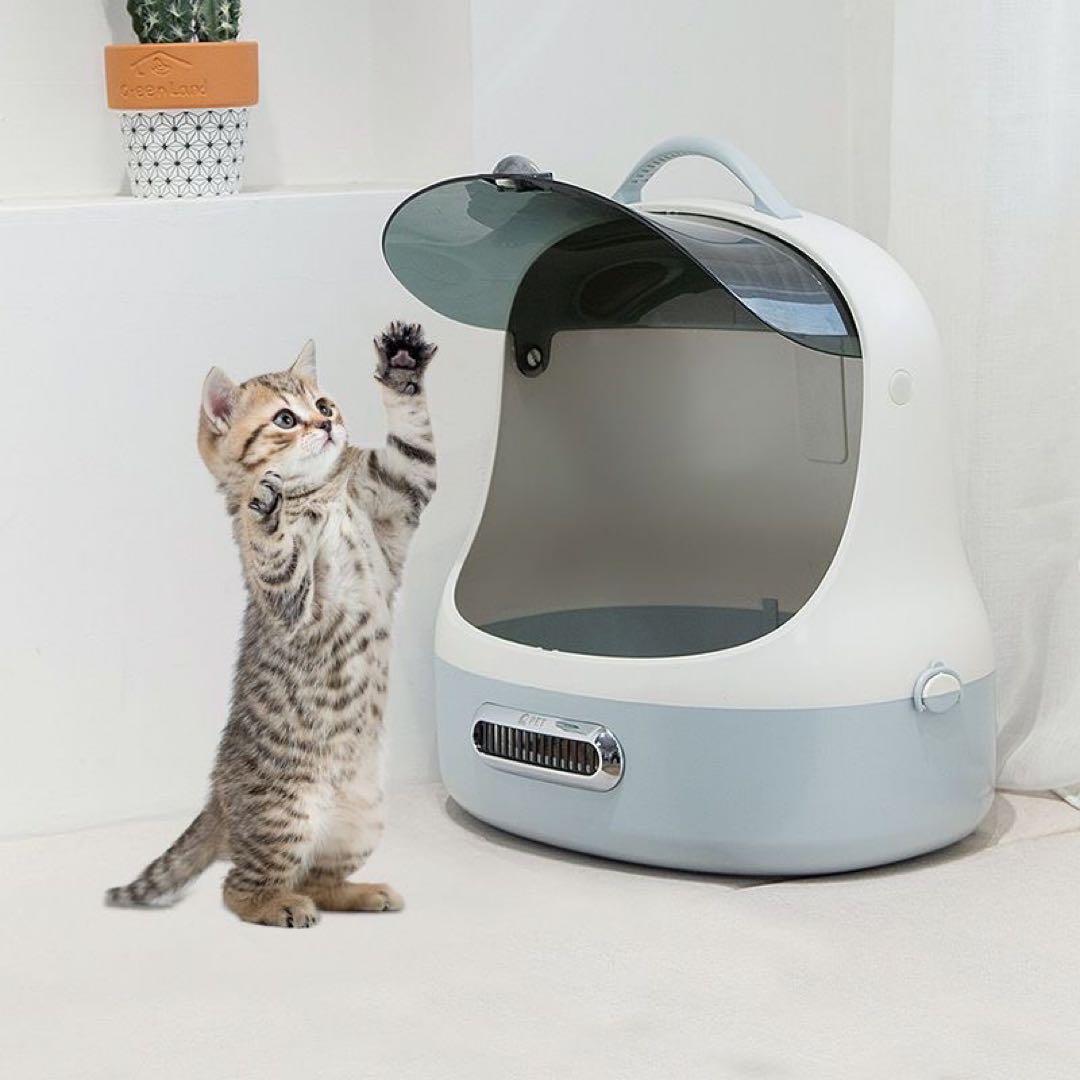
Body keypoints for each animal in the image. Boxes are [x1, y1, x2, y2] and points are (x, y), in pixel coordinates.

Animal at [105, 321, 438, 928]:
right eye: (286, 418)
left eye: (324, 404)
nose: (327, 423)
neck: (322, 496)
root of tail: (216, 800)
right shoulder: (289, 601)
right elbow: (274, 555)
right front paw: (265, 511)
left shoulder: (399, 490)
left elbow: (414, 439)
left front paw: (402, 364)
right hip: (284, 816)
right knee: (239, 887)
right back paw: (279, 905)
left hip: (362, 820)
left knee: (320, 879)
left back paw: (361, 893)